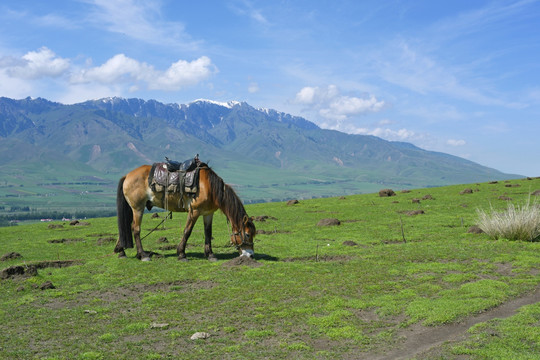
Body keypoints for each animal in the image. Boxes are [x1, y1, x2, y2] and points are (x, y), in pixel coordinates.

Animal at [113, 162, 255, 262]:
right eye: (247, 234)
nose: (250, 255)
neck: (210, 187)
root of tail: (127, 176)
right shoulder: (194, 211)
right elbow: (187, 231)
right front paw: (181, 254)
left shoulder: (208, 213)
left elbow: (208, 233)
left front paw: (210, 255)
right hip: (138, 208)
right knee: (135, 229)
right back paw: (142, 255)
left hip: (133, 209)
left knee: (125, 227)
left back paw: (121, 252)